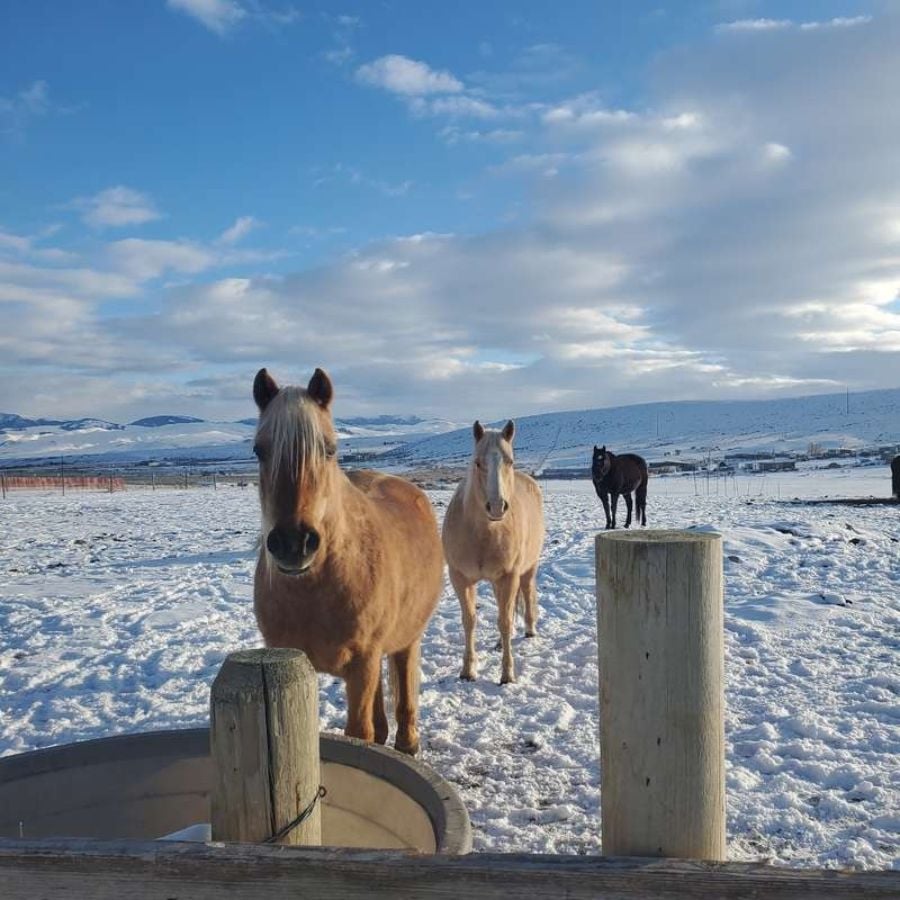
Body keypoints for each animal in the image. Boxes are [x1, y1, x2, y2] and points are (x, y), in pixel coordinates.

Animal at [251, 366, 442, 752]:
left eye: (330, 449)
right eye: (258, 450)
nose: (293, 543)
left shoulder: (362, 662)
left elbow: (358, 732)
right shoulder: (290, 663)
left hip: (406, 640)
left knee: (403, 689)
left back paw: (408, 742)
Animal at [442, 420, 544, 684]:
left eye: (510, 461)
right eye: (478, 462)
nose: (497, 507)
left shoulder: (509, 576)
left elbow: (505, 622)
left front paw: (507, 674)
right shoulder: (460, 578)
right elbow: (469, 621)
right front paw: (467, 670)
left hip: (527, 569)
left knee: (526, 592)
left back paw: (530, 629)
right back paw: (499, 644)